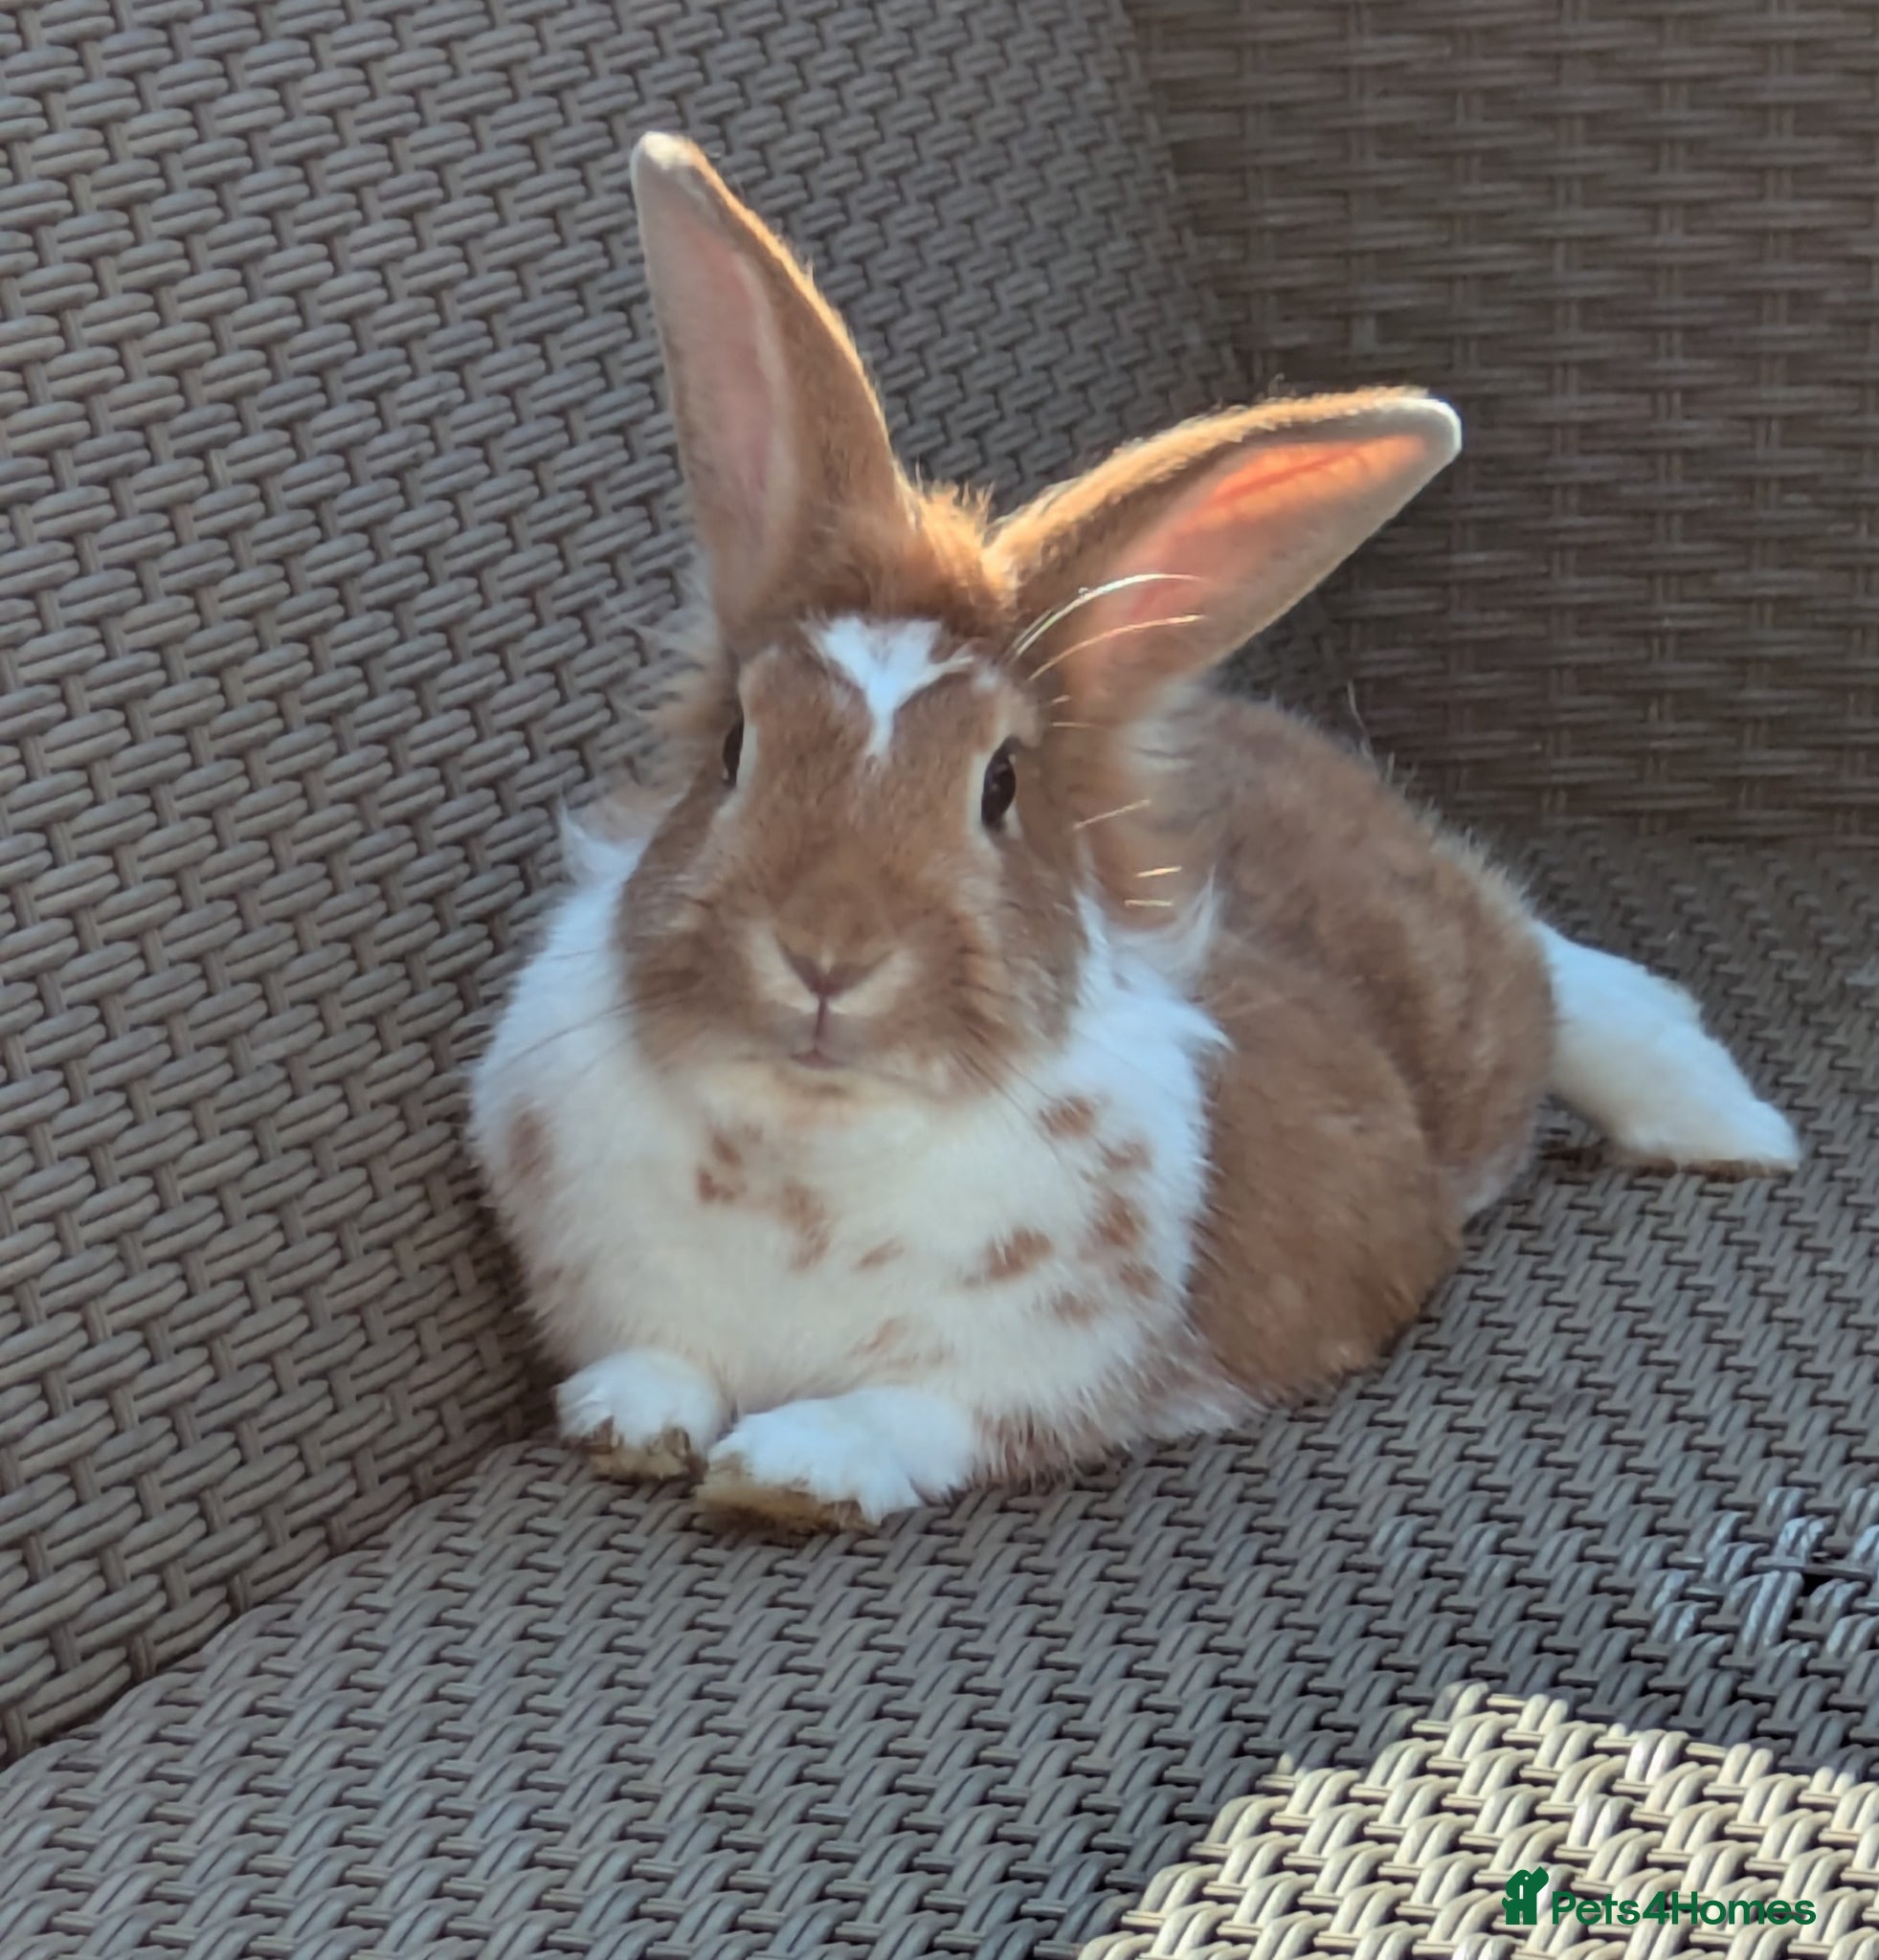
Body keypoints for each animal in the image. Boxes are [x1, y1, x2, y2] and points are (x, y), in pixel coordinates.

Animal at [467, 133, 1799, 1531]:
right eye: (735, 746)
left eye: (1000, 785)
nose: (827, 954)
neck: (802, 1153)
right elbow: (657, 1360)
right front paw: (631, 1421)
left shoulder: (1025, 1387)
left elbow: (913, 1414)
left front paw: (793, 1468)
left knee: (1561, 983)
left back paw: (1730, 1127)